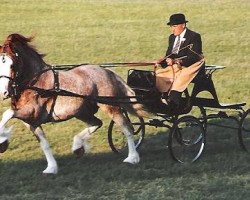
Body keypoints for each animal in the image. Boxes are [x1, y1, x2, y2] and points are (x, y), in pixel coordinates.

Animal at [0, 33, 149, 174]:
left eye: (12, 65)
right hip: (81, 111)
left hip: (110, 107)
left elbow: (7, 113)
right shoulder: (32, 121)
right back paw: (77, 147)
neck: (34, 83)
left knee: (127, 128)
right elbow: (44, 144)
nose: (3, 92)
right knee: (97, 123)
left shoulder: (32, 112)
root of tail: (108, 71)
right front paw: (51, 168)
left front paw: (2, 140)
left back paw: (132, 158)